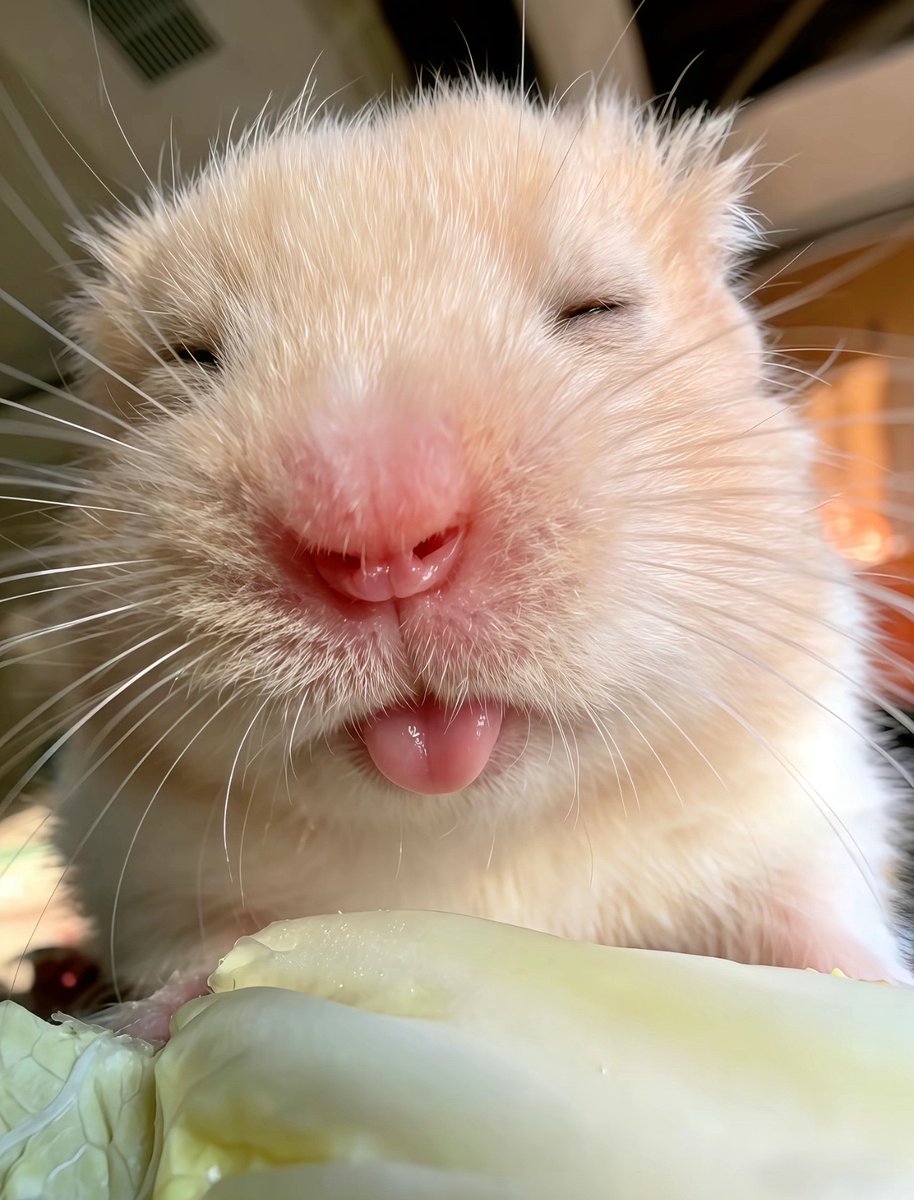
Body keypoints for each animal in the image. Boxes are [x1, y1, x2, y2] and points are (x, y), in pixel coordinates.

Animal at [36, 82, 910, 1005]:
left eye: (598, 307)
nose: (380, 537)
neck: (476, 830)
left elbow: (821, 924)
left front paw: (875, 998)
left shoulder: (800, 806)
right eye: (189, 356)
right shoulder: (135, 875)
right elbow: (195, 955)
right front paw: (171, 1014)